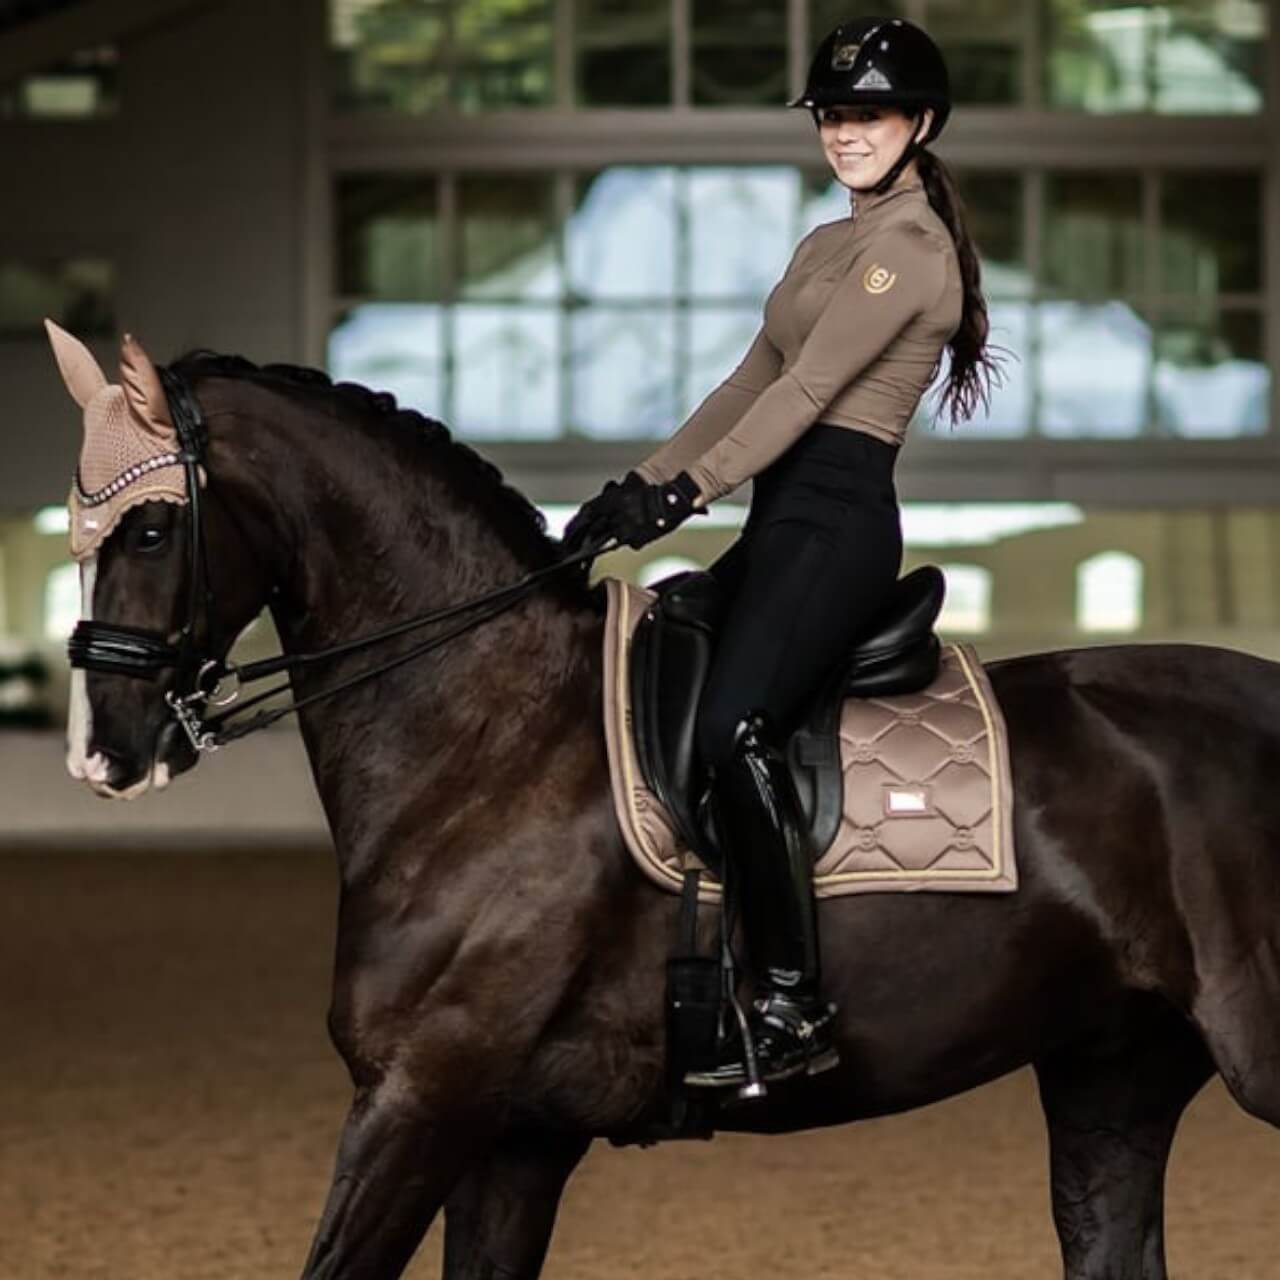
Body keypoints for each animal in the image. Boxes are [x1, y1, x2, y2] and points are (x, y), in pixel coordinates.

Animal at [57, 332, 1280, 1280]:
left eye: (152, 529)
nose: (104, 747)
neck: (489, 731)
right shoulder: (511, 1140)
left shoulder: (422, 1100)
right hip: (1110, 1078)